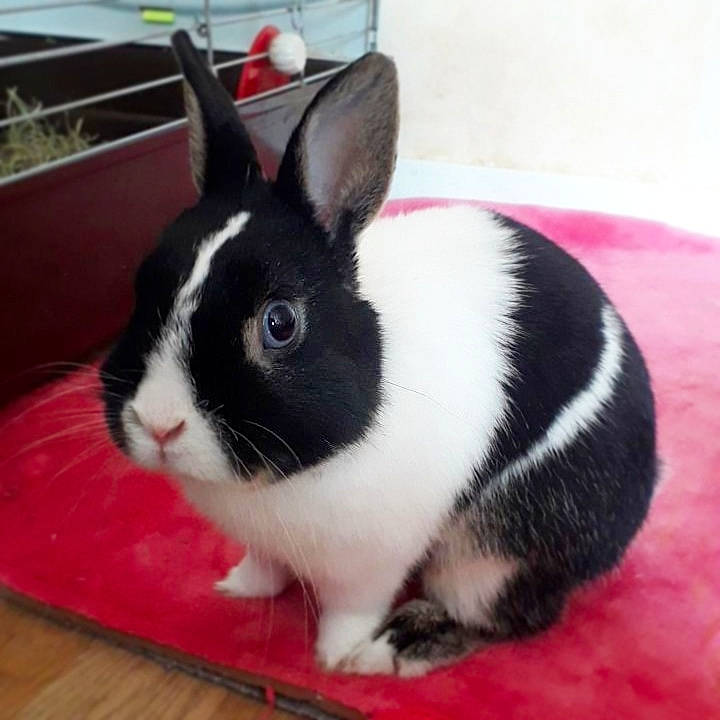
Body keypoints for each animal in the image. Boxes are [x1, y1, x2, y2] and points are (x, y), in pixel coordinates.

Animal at [101, 30, 656, 677]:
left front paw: (335, 658)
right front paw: (239, 588)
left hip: (490, 553)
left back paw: (393, 650)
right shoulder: (267, 544)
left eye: (279, 323)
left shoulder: (371, 566)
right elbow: (264, 565)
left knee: (508, 618)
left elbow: (350, 610)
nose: (159, 425)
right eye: (143, 285)